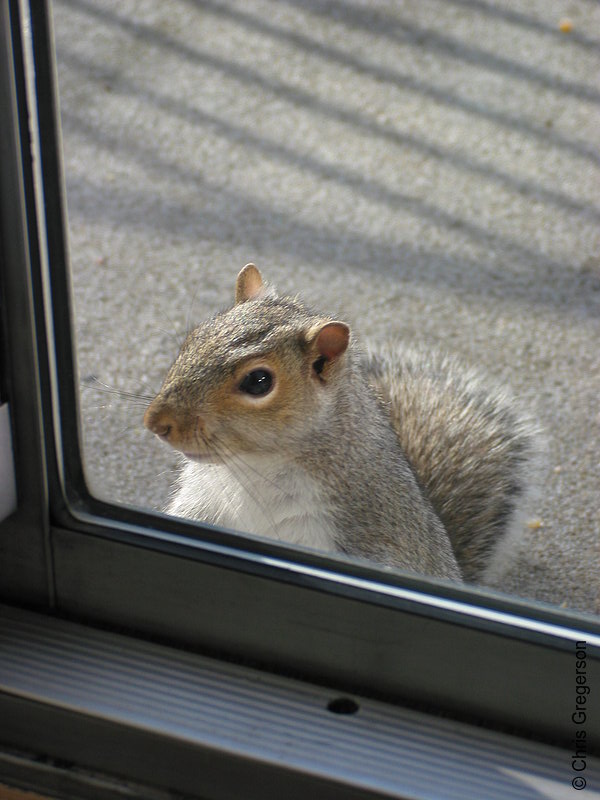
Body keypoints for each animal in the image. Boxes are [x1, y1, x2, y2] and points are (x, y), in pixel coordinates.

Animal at [144, 266, 540, 584]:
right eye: (194, 338)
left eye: (258, 382)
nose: (156, 422)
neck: (254, 466)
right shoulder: (202, 505)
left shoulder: (359, 534)